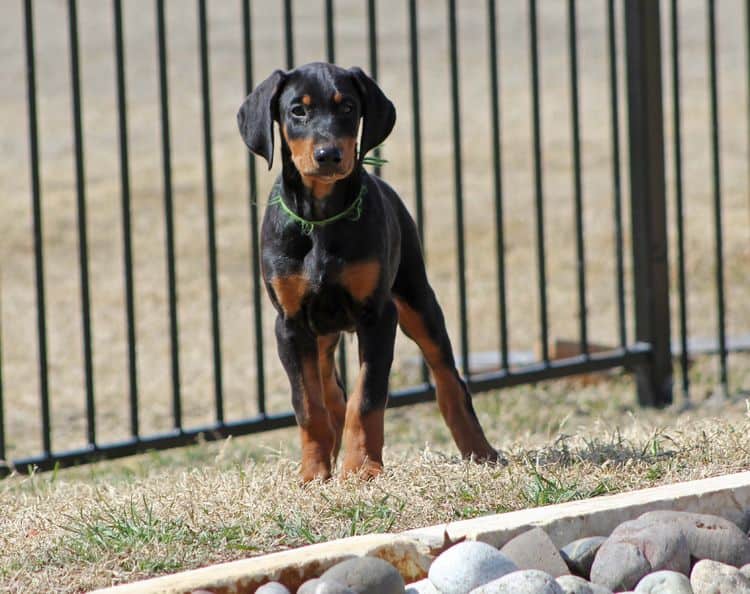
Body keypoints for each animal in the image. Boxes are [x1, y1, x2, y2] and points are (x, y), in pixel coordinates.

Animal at [239, 62, 500, 478]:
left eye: (347, 107)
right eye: (298, 110)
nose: (329, 155)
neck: (322, 219)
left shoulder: (378, 315)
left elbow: (367, 397)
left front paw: (361, 468)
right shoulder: (290, 324)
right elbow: (308, 404)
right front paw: (313, 474)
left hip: (417, 299)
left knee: (448, 379)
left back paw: (479, 450)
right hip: (320, 332)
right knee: (329, 390)